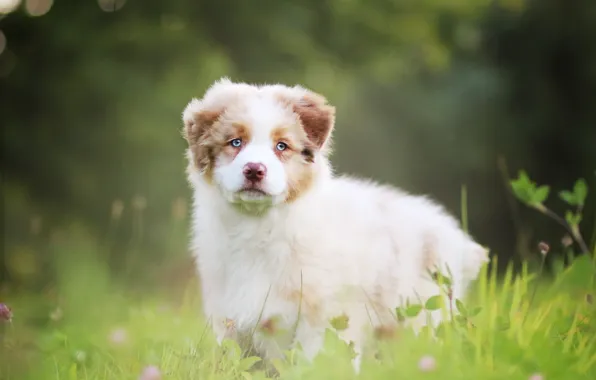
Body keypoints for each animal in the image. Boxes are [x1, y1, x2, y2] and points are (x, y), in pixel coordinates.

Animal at [182, 77, 488, 372]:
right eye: (235, 142)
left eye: (282, 146)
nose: (255, 170)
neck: (258, 226)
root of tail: (450, 231)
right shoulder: (231, 318)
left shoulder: (324, 317)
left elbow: (315, 362)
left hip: (422, 315)